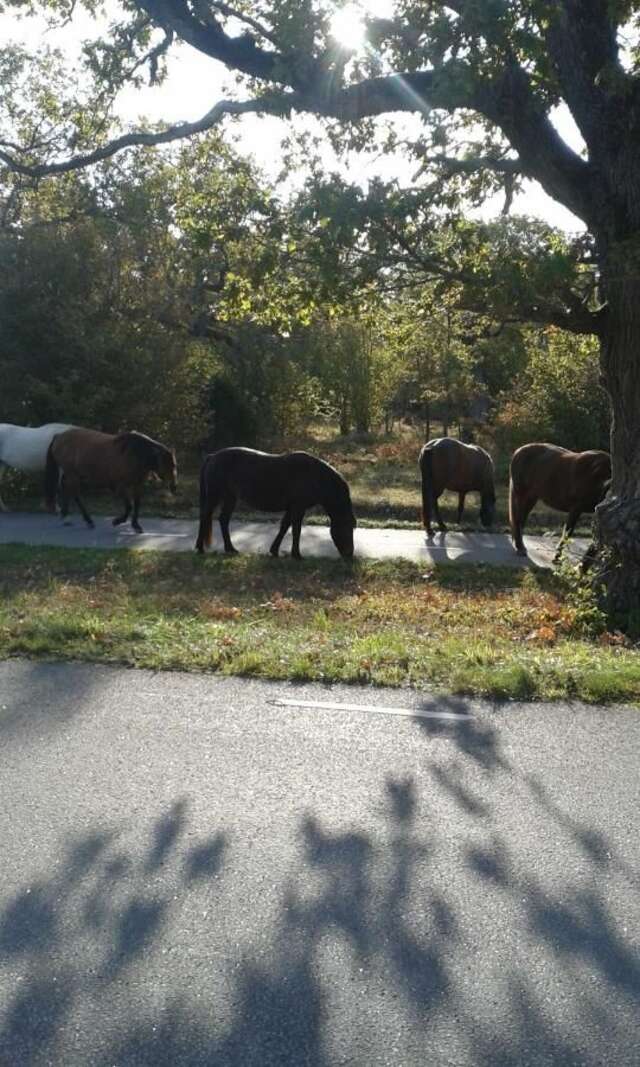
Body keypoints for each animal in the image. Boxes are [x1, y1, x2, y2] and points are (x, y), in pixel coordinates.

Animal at [44, 426, 176, 531]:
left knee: (67, 490)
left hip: (73, 475)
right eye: (167, 465)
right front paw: (117, 521)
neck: (135, 453)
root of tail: (59, 436)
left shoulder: (137, 486)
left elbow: (137, 505)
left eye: (174, 465)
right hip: (73, 475)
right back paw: (86, 520)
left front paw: (136, 525)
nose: (174, 487)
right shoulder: (120, 487)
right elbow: (129, 506)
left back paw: (67, 517)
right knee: (75, 494)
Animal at [195, 446, 354, 559]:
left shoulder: (292, 508)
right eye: (347, 527)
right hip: (215, 496)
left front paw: (274, 551)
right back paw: (200, 548)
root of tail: (212, 457)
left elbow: (284, 527)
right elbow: (296, 530)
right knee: (205, 516)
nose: (350, 554)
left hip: (230, 498)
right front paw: (296, 555)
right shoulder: (298, 508)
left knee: (223, 520)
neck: (314, 476)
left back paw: (230, 549)